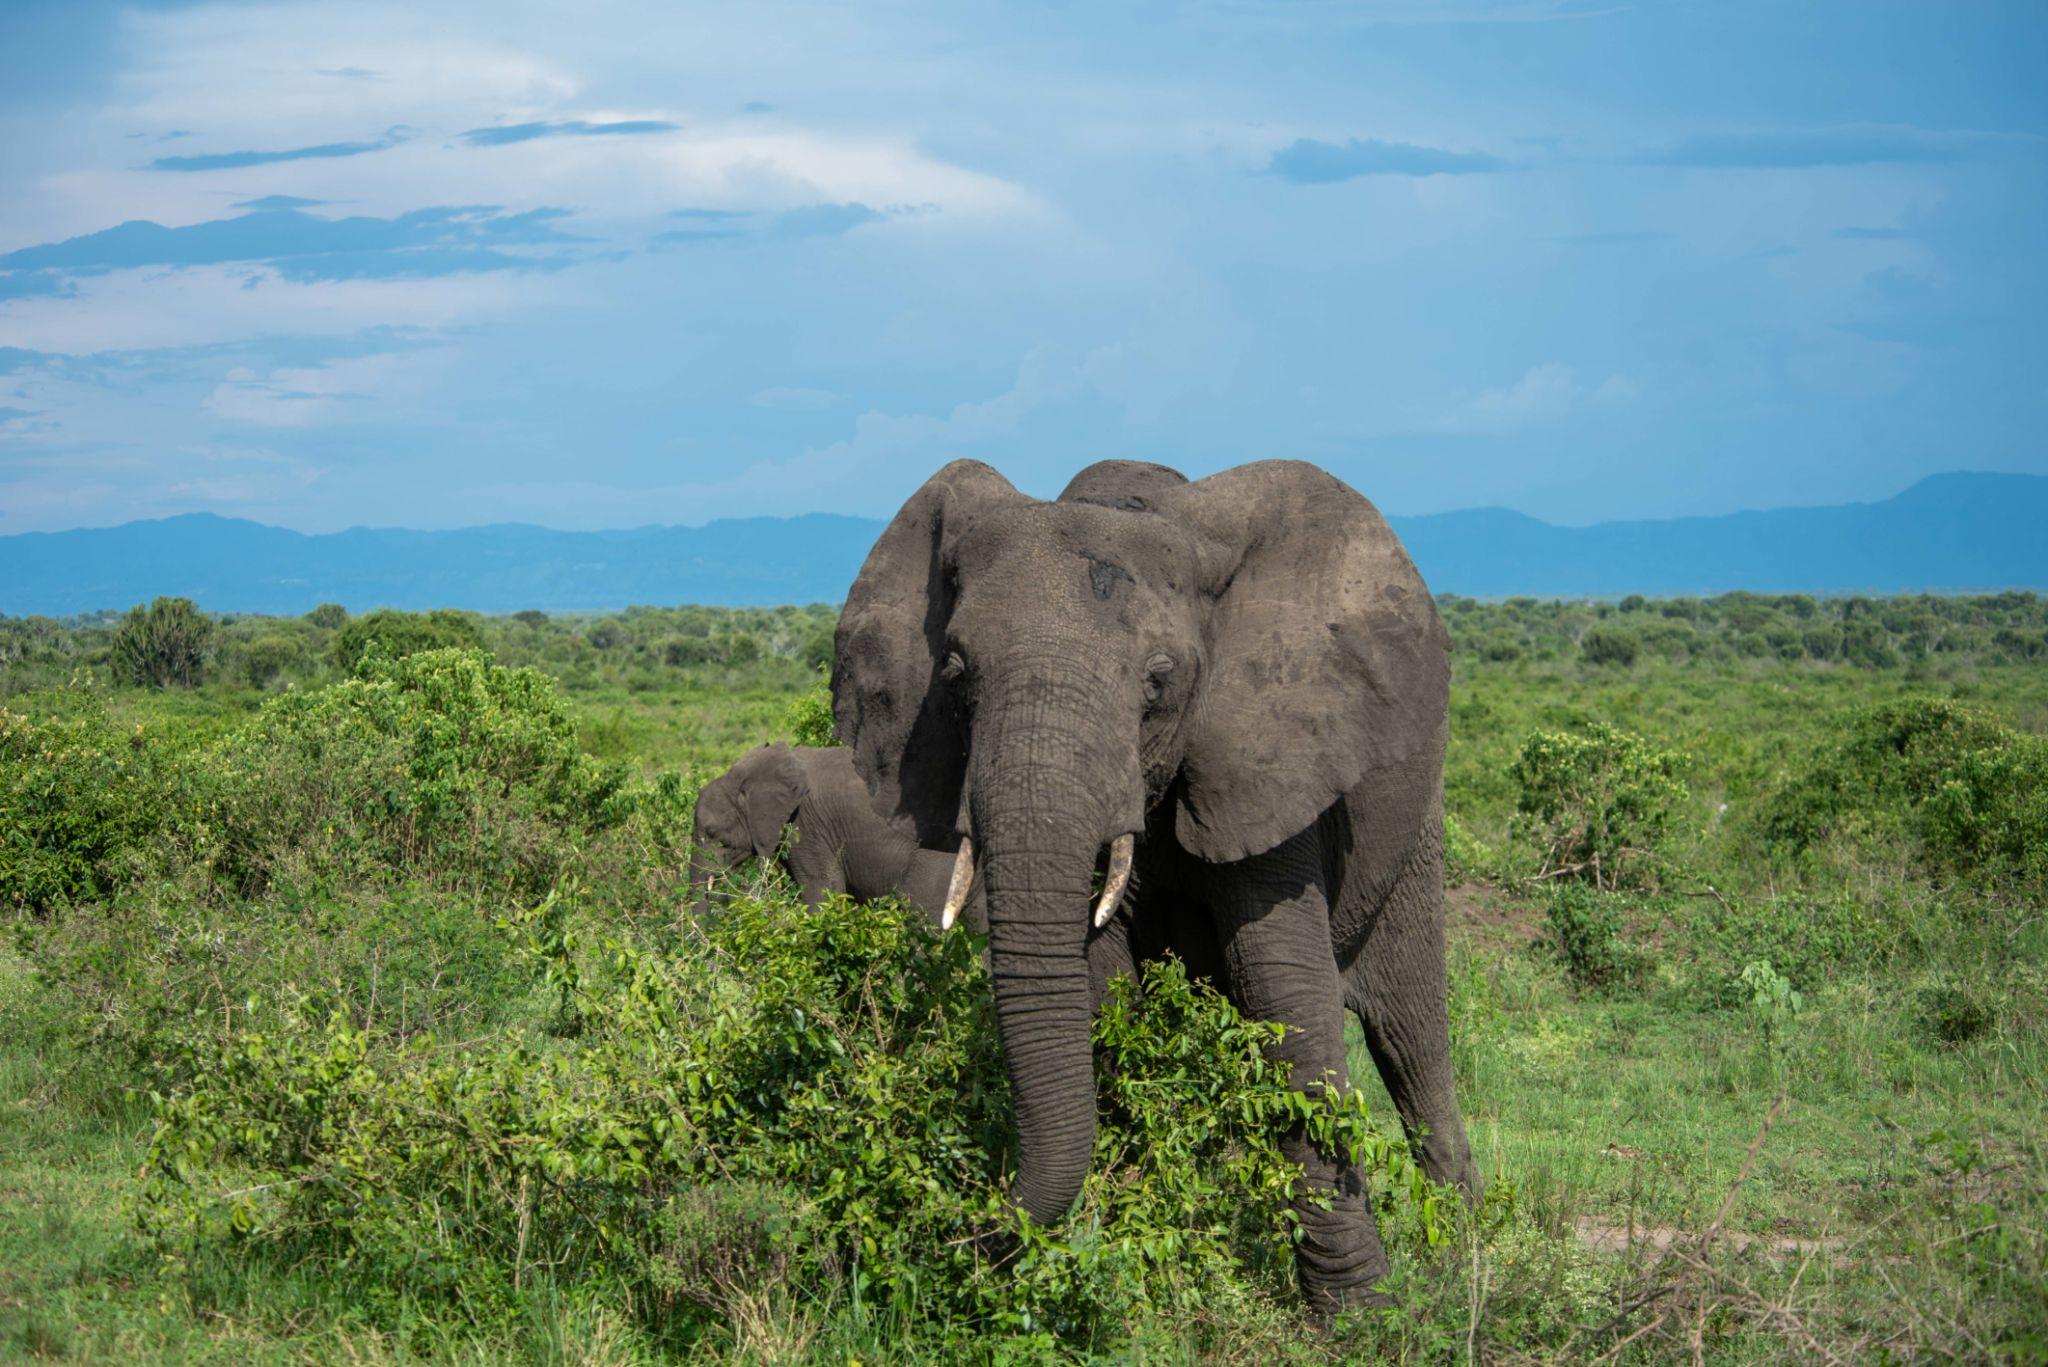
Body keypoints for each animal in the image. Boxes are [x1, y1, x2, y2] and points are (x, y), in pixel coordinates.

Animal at [831, 457, 1475, 1314]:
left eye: (1158, 681)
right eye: (957, 675)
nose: (968, 1227)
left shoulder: (1264, 756)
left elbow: (1284, 990)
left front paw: (1361, 1313)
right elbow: (1103, 988)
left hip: (1417, 817)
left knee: (1410, 1037)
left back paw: (1464, 1250)